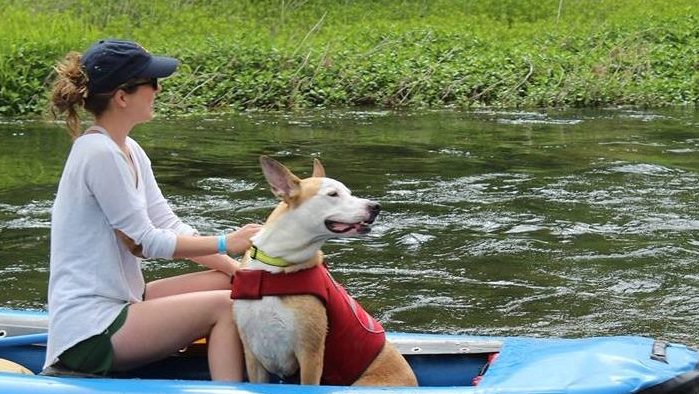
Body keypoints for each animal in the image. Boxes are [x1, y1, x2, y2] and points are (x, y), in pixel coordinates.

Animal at [230, 155, 418, 386]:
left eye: (348, 192)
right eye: (333, 194)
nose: (376, 206)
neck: (276, 266)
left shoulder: (310, 354)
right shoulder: (252, 354)